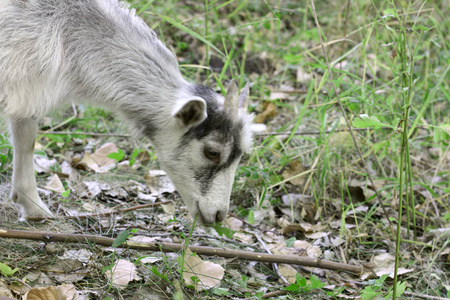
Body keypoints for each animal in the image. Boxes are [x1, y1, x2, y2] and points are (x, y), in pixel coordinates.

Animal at [0, 0, 253, 225]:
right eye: (211, 152)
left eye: (240, 155)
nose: (219, 215)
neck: (69, 31)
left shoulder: (26, 91)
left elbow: (26, 139)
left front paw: (32, 207)